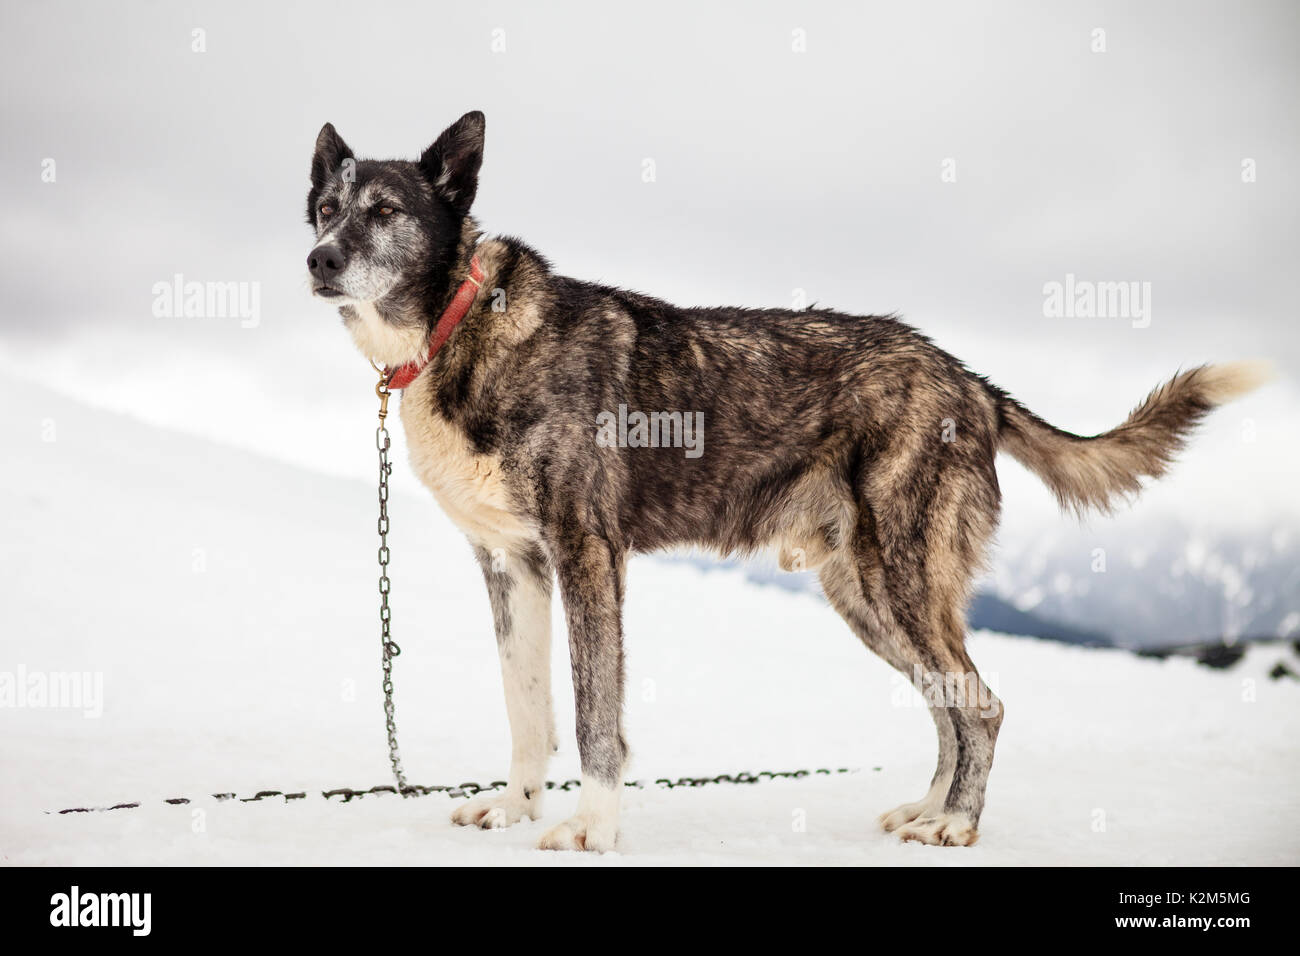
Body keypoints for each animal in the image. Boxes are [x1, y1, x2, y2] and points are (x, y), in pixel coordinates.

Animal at [306, 111, 1268, 853]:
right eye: (323, 209)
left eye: (384, 210)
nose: (318, 260)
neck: (461, 326)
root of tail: (966, 378)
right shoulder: (513, 568)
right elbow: (526, 710)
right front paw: (514, 809)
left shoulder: (587, 557)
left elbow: (592, 718)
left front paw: (594, 830)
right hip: (865, 597)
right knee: (949, 706)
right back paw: (928, 807)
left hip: (901, 580)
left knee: (983, 705)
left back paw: (956, 825)